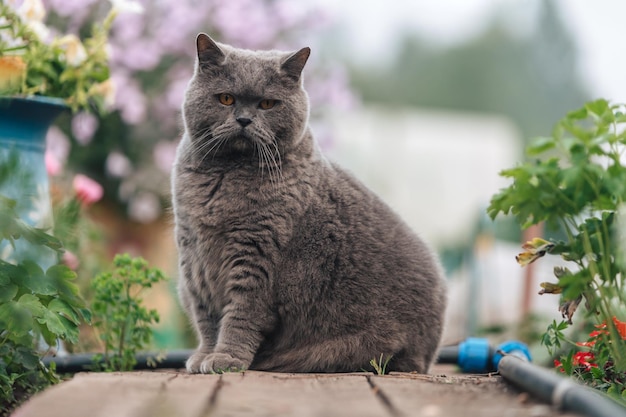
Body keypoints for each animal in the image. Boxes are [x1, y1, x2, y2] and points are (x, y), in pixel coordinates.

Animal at [171, 34, 444, 372]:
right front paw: (205, 355)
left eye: (267, 103)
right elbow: (206, 316)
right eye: (225, 99)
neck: (226, 176)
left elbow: (241, 314)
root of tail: (430, 351)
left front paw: (226, 359)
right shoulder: (194, 258)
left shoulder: (258, 255)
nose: (244, 119)